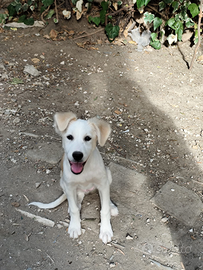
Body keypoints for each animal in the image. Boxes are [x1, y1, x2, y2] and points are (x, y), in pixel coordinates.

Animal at [29, 110, 118, 244]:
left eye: (88, 138)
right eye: (69, 137)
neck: (84, 171)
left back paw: (112, 206)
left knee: (105, 198)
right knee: (78, 198)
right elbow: (75, 209)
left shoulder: (103, 183)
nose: (77, 155)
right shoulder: (70, 187)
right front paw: (75, 227)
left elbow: (105, 209)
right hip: (63, 182)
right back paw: (76, 204)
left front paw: (106, 230)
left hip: (108, 174)